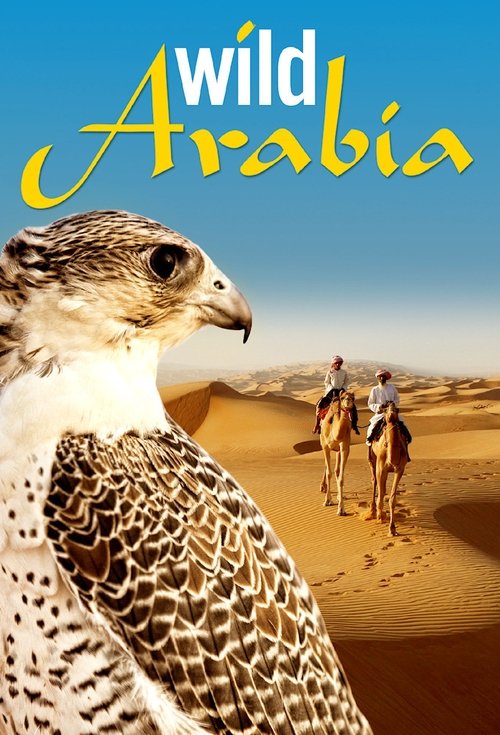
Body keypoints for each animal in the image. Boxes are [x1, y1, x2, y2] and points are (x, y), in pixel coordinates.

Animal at [365, 401, 408, 536]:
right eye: (384, 409)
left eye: (397, 410)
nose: (391, 411)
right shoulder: (380, 468)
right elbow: (380, 492)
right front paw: (379, 516)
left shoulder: (400, 470)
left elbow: (392, 498)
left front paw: (392, 528)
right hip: (372, 459)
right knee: (374, 481)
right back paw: (373, 511)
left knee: (382, 487)